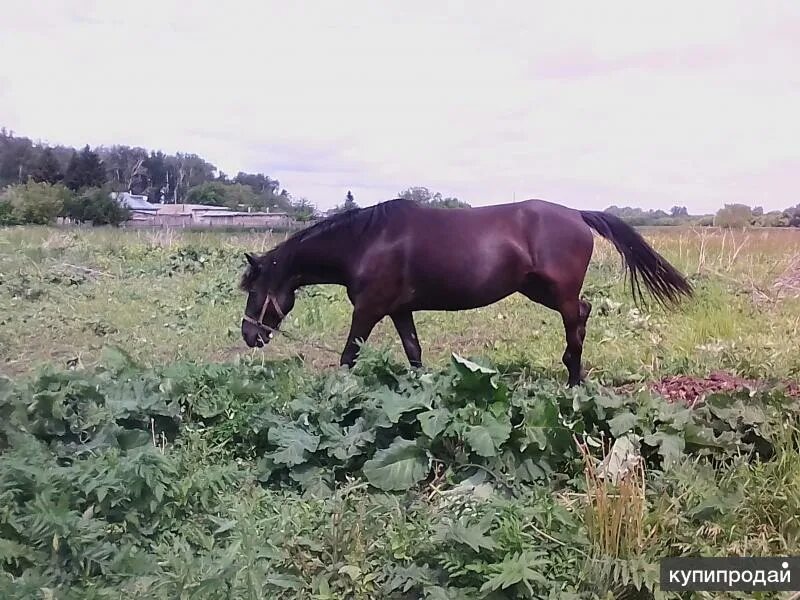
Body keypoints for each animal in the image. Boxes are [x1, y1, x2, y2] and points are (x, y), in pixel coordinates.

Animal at [239, 197, 692, 384]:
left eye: (255, 290)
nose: (249, 334)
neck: (366, 242)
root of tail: (578, 215)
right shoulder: (398, 309)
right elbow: (414, 352)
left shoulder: (368, 309)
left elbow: (349, 355)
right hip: (537, 290)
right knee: (583, 312)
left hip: (557, 292)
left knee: (576, 321)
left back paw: (573, 380)